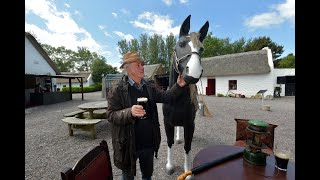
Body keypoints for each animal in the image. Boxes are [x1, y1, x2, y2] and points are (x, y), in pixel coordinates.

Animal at [162, 14, 210, 179]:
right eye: (181, 44)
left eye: (201, 49)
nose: (193, 74)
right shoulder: (167, 123)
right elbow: (169, 142)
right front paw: (169, 166)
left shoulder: (190, 124)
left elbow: (187, 147)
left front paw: (187, 172)